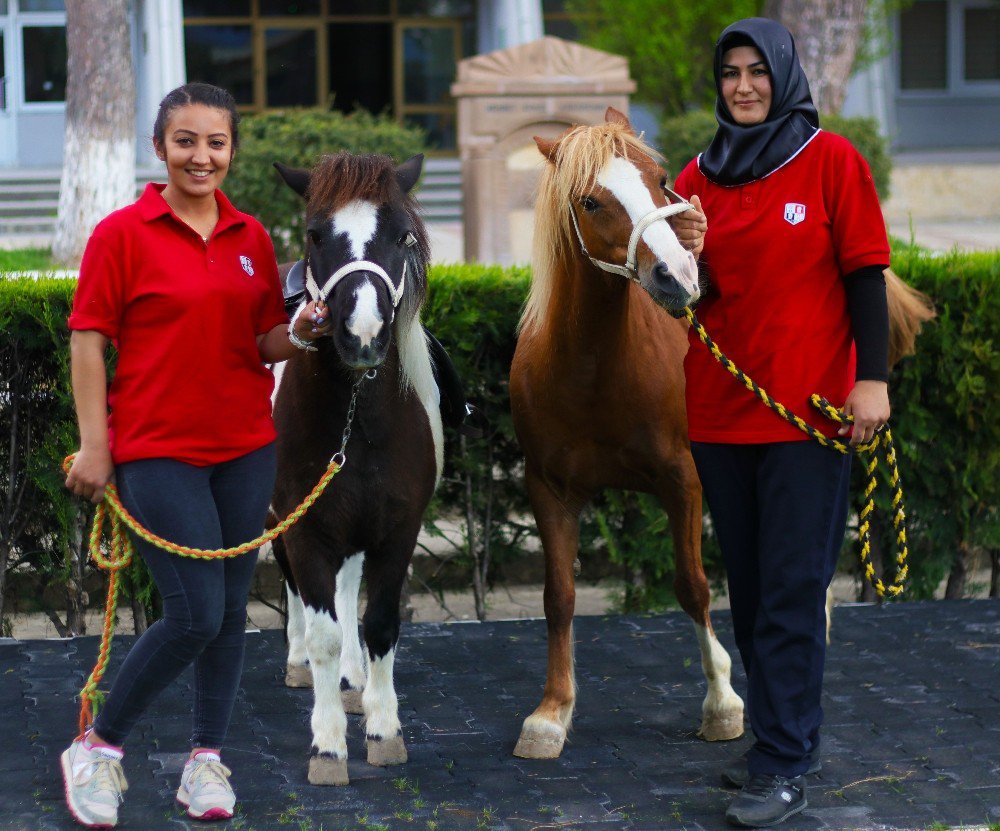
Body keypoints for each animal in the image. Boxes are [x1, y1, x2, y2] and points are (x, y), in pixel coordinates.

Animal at [268, 151, 440, 788]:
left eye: (401, 235)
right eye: (316, 233)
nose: (362, 334)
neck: (358, 419)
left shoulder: (397, 528)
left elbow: (379, 623)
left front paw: (384, 729)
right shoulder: (305, 526)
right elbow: (322, 629)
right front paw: (328, 745)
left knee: (346, 593)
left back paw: (352, 680)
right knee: (298, 590)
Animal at [512, 109, 748, 760]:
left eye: (661, 179)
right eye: (590, 201)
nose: (678, 275)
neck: (593, 369)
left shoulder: (681, 480)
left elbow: (692, 585)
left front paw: (722, 702)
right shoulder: (549, 489)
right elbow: (559, 597)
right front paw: (551, 713)